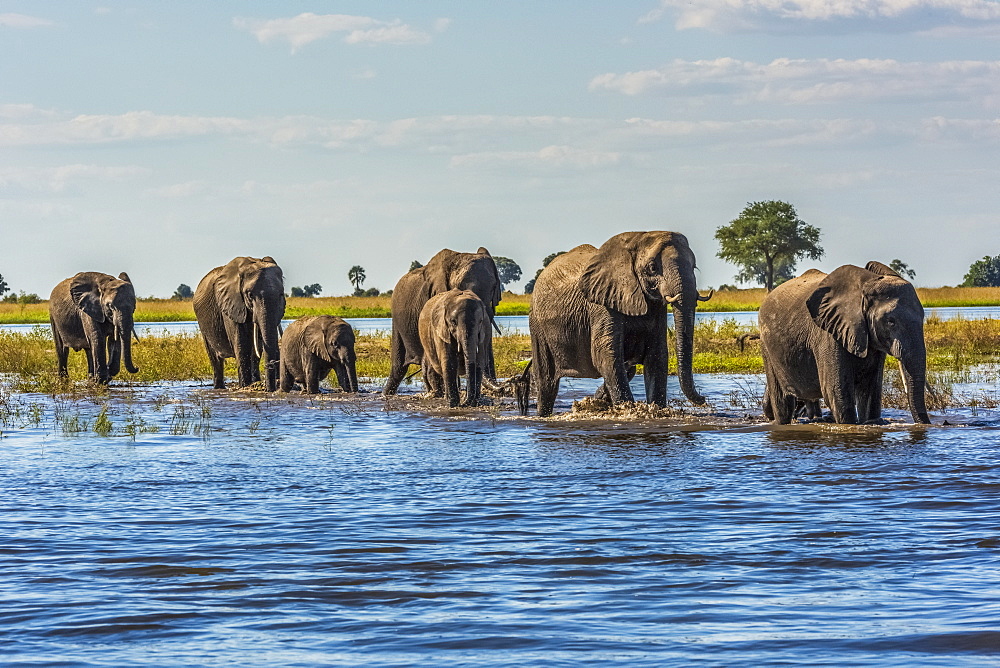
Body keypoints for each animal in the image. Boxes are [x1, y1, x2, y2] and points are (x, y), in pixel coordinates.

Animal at [193, 256, 286, 392]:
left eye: (281, 294)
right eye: (250, 295)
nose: (272, 389)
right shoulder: (230, 305)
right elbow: (242, 345)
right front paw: (245, 386)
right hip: (203, 324)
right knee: (215, 358)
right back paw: (220, 388)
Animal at [524, 232, 712, 414]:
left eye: (694, 266)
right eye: (652, 268)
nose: (703, 399)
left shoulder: (656, 308)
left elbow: (656, 355)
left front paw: (656, 409)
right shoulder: (602, 303)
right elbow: (605, 354)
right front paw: (627, 409)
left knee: (628, 368)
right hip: (537, 325)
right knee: (547, 383)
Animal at [760, 260, 932, 422]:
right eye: (891, 321)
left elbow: (869, 391)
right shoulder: (828, 333)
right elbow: (835, 392)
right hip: (766, 346)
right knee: (783, 404)